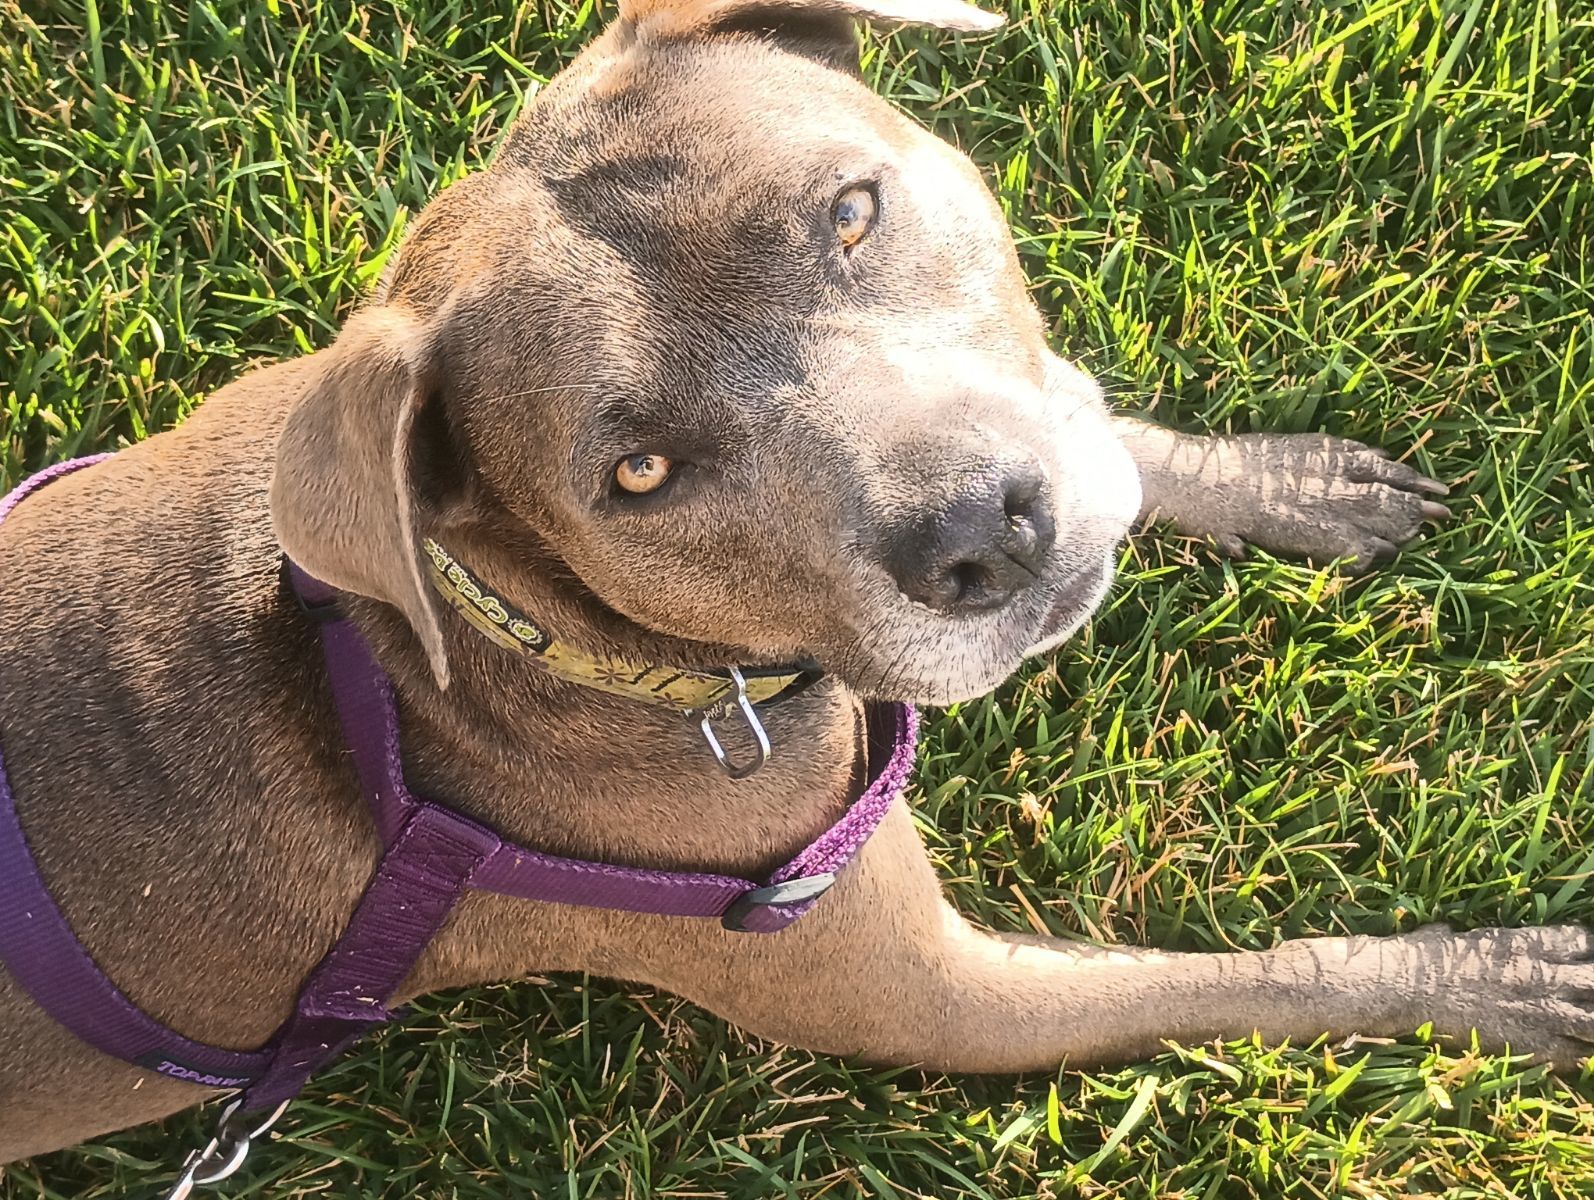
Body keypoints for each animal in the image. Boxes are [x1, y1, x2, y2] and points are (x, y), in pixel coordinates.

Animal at [6, 0, 1587, 1166]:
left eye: (850, 211)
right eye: (637, 473)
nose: (985, 530)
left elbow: (1103, 429)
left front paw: (1281, 483)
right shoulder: (929, 996)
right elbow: (1256, 983)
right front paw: (1500, 976)